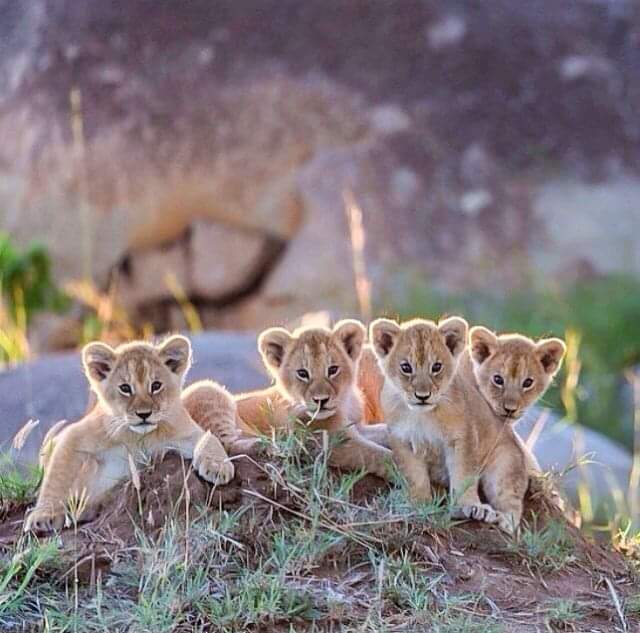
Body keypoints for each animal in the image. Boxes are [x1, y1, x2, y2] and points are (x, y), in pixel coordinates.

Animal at [25, 335, 240, 533]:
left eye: (156, 385)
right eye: (125, 388)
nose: (144, 414)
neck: (137, 437)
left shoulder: (184, 433)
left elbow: (209, 438)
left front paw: (218, 467)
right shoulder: (73, 436)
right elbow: (56, 477)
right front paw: (43, 516)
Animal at [234, 320, 393, 478]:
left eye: (333, 369)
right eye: (302, 373)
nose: (320, 400)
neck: (345, 405)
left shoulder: (356, 427)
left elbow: (385, 431)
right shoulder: (335, 444)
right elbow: (380, 456)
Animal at [368, 316, 565, 533]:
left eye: (436, 367)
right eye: (406, 367)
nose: (423, 396)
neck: (422, 415)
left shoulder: (463, 438)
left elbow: (464, 475)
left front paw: (469, 507)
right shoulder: (402, 441)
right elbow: (414, 476)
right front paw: (417, 502)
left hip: (504, 464)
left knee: (510, 497)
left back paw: (504, 520)